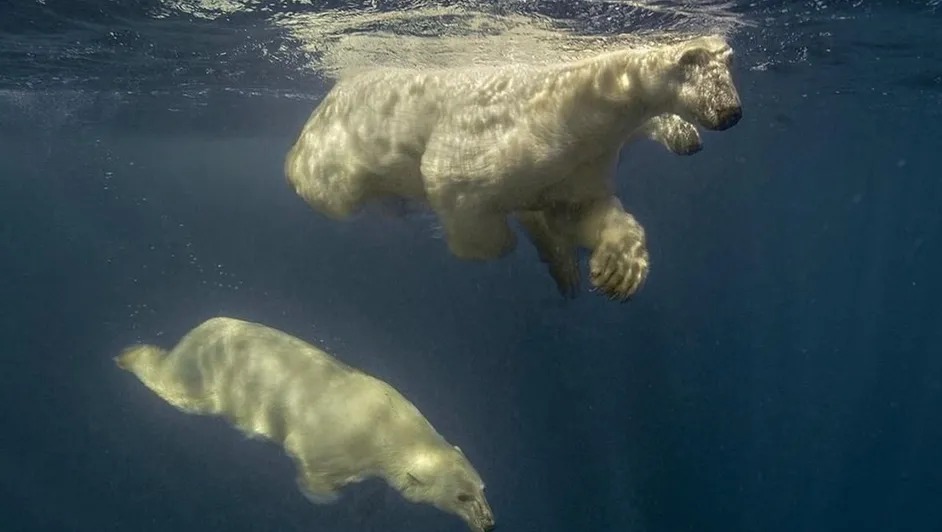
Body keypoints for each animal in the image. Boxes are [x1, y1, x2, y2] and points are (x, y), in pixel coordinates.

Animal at [116, 316, 496, 532]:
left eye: (482, 488)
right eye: (461, 497)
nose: (489, 523)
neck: (389, 425)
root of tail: (194, 335)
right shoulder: (336, 445)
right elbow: (313, 469)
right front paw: (328, 496)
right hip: (204, 380)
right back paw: (131, 356)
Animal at [284, 34, 741, 301]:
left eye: (729, 69)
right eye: (708, 74)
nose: (732, 112)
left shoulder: (582, 160)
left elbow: (578, 210)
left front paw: (616, 270)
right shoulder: (504, 136)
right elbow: (457, 184)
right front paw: (504, 241)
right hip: (337, 148)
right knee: (330, 188)